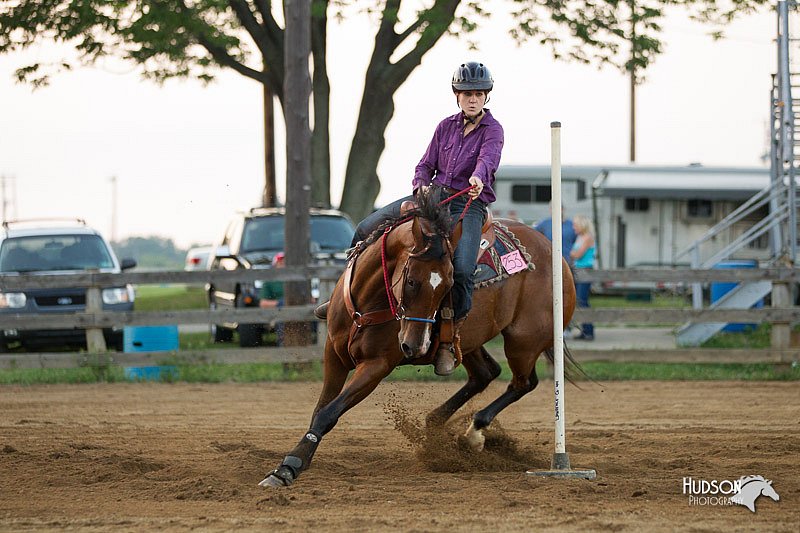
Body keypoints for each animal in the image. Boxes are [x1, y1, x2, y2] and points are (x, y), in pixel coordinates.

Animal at [260, 186, 580, 486]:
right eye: (411, 281)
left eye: (449, 285)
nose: (415, 345)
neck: (369, 300)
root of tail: (555, 254)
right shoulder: (333, 354)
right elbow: (321, 408)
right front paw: (297, 461)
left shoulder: (376, 366)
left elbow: (329, 413)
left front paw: (288, 467)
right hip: (470, 342)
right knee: (486, 373)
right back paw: (434, 423)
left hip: (523, 341)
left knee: (523, 382)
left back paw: (473, 432)